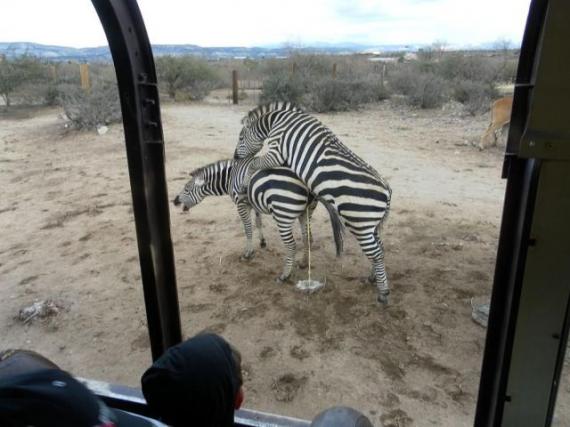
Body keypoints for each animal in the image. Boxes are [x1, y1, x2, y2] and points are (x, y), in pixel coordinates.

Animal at [172, 157, 342, 284]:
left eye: (187, 188)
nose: (174, 201)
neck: (230, 177)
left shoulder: (241, 204)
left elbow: (247, 228)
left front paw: (248, 253)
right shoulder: (254, 202)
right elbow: (258, 222)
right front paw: (262, 242)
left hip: (283, 214)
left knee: (292, 245)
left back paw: (285, 275)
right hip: (306, 212)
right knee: (306, 237)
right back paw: (303, 263)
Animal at [232, 103, 390, 304]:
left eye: (241, 137)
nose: (235, 157)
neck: (278, 120)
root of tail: (387, 190)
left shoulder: (276, 151)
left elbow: (254, 163)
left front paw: (245, 184)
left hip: (360, 223)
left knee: (376, 253)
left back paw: (383, 293)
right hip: (371, 225)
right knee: (381, 249)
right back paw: (372, 279)